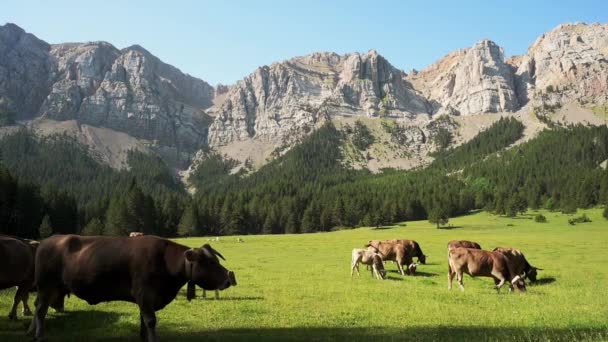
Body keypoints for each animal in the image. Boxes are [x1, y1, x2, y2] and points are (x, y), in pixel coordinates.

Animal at [29, 235, 236, 342]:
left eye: (216, 260)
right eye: (210, 262)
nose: (229, 278)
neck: (165, 261)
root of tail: (47, 240)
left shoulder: (146, 300)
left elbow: (143, 322)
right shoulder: (144, 294)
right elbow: (151, 321)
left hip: (49, 289)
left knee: (38, 306)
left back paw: (31, 331)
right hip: (46, 285)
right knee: (40, 310)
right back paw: (39, 335)